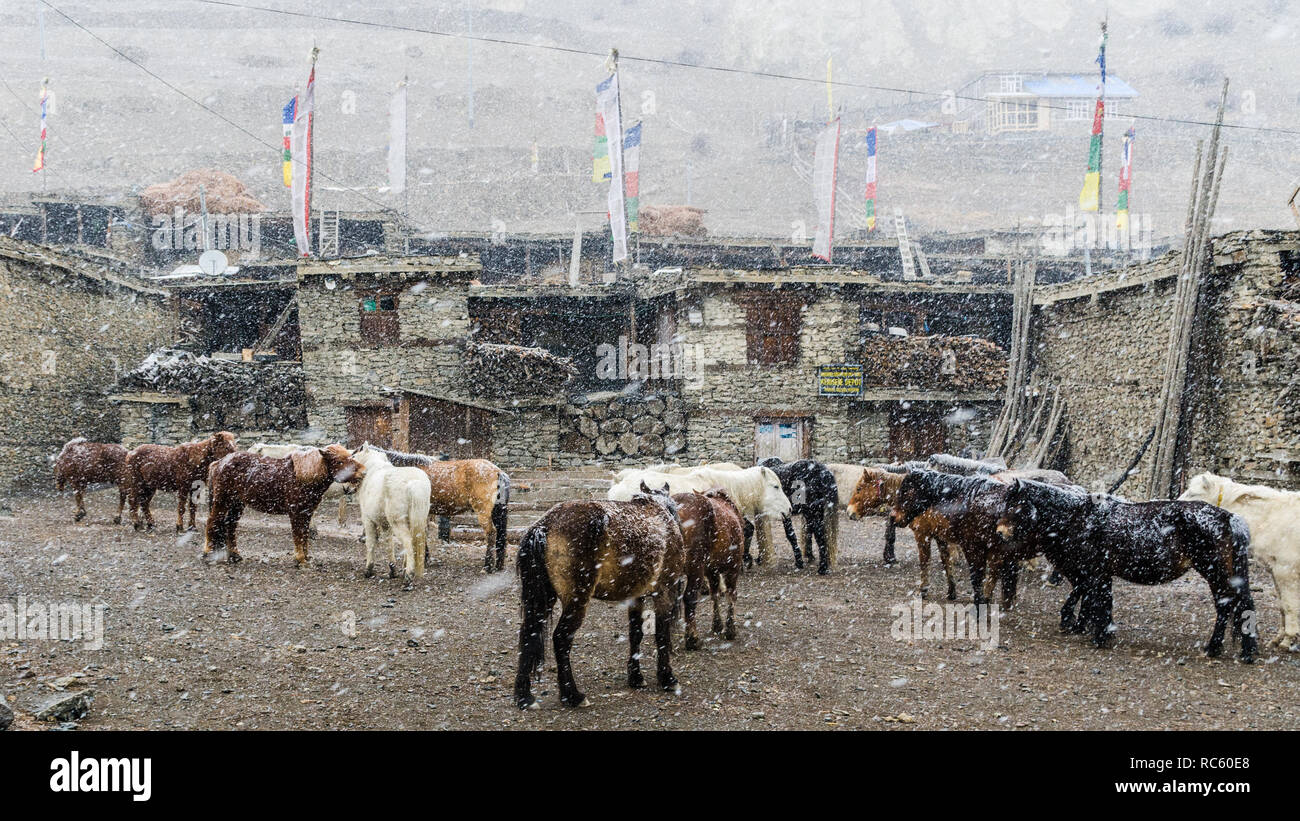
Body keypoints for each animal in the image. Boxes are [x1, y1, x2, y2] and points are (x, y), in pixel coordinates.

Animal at [202, 446, 366, 566]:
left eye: (351, 457)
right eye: (339, 461)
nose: (363, 472)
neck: (303, 476)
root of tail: (218, 463)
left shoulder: (307, 513)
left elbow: (305, 534)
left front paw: (305, 557)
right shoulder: (296, 513)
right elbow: (298, 534)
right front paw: (300, 559)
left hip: (236, 505)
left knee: (230, 526)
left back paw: (234, 555)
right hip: (222, 502)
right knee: (212, 522)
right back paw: (208, 553)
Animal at [351, 446, 431, 579]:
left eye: (353, 457)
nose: (347, 489)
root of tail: (414, 482)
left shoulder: (368, 520)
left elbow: (371, 543)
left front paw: (368, 570)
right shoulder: (385, 525)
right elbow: (389, 543)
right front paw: (392, 570)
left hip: (398, 523)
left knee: (408, 542)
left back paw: (408, 575)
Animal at [512, 483, 686, 706]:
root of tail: (544, 525)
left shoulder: (636, 596)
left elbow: (636, 633)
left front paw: (636, 677)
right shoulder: (664, 592)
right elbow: (662, 634)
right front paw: (667, 678)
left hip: (543, 600)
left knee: (529, 633)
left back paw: (524, 696)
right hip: (576, 601)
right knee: (561, 638)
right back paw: (572, 695)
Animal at [676, 491, 748, 652]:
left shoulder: (711, 570)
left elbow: (715, 594)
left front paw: (717, 624)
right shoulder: (733, 567)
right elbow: (731, 594)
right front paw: (730, 628)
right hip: (696, 568)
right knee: (689, 597)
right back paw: (692, 639)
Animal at [1180, 470, 1300, 652]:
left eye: (1193, 494)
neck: (1270, 517)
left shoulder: (1286, 571)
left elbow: (1289, 606)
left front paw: (1288, 640)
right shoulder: (1275, 571)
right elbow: (1281, 605)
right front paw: (1278, 639)